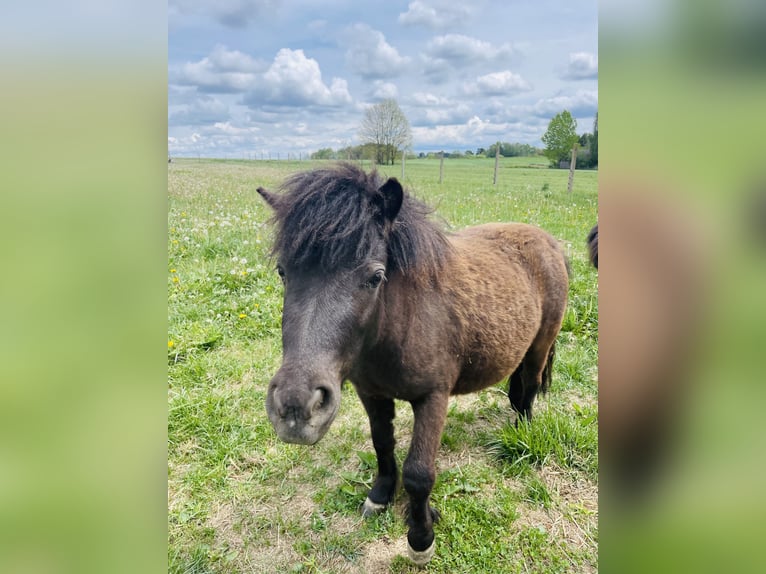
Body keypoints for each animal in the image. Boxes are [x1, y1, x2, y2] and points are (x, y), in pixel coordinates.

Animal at [257, 162, 569, 565]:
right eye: (283, 271)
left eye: (375, 276)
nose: (296, 407)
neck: (400, 321)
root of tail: (549, 242)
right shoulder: (371, 393)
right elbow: (382, 443)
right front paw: (380, 496)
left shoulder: (433, 398)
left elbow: (420, 474)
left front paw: (421, 538)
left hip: (539, 347)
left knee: (528, 390)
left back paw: (523, 434)